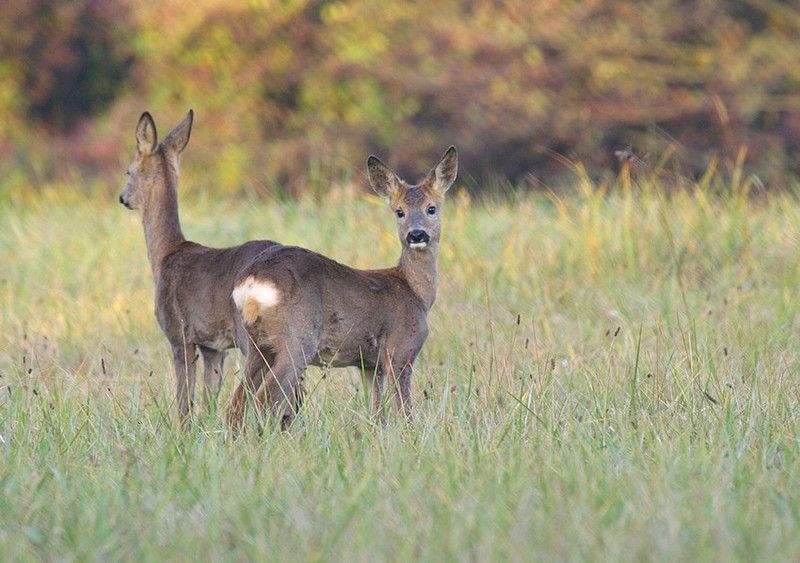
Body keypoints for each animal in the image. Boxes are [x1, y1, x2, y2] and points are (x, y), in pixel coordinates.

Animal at [119, 110, 278, 420]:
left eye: (128, 171)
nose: (122, 198)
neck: (165, 254)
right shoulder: (212, 347)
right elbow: (207, 400)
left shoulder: (178, 334)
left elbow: (185, 403)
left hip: (249, 335)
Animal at [225, 147, 460, 432]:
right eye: (399, 211)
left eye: (431, 208)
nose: (416, 235)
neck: (415, 292)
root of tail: (252, 281)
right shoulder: (401, 349)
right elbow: (405, 411)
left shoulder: (369, 365)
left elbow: (377, 414)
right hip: (297, 338)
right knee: (264, 401)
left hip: (258, 345)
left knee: (236, 405)